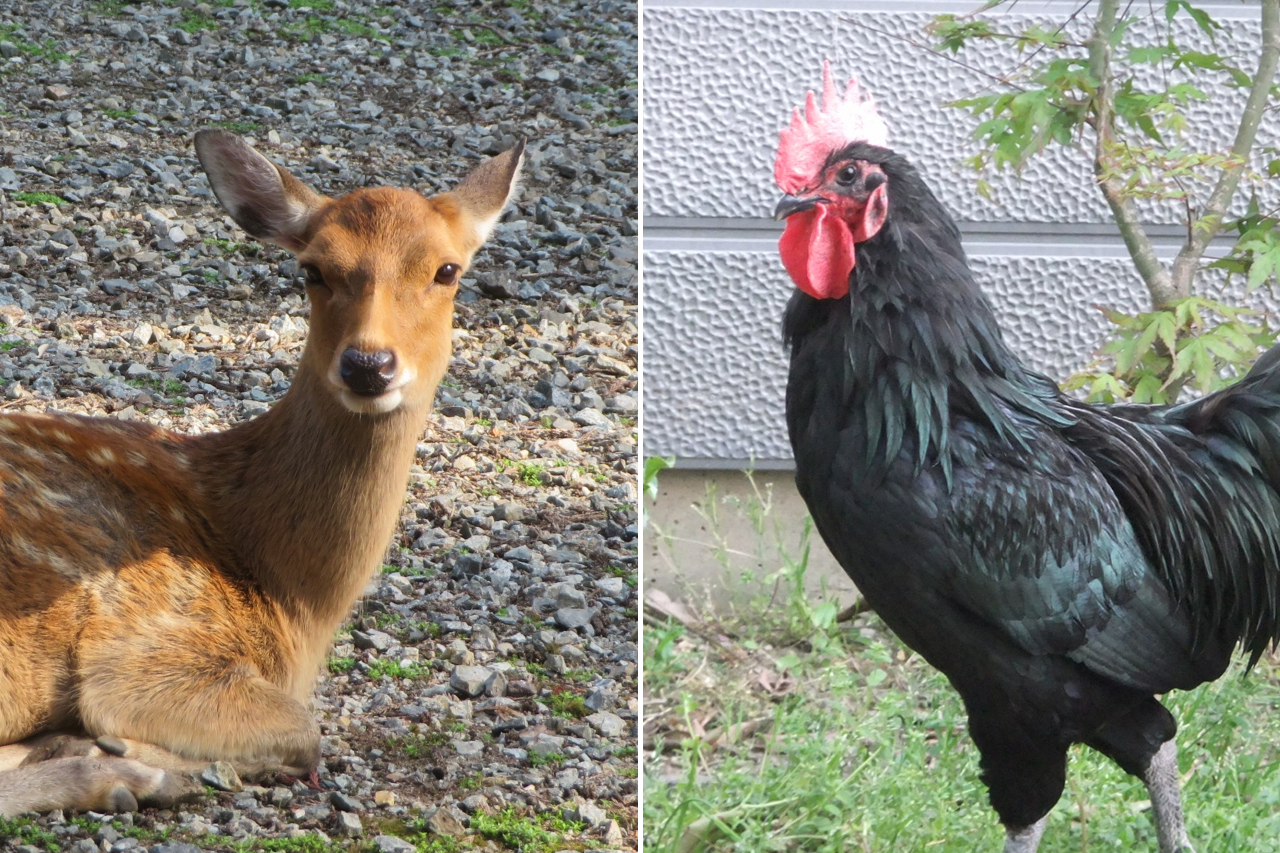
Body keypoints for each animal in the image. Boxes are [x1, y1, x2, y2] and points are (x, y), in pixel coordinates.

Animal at [0, 128, 524, 817]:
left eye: (447, 269)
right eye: (313, 269)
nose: (368, 364)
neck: (291, 600)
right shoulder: (146, 648)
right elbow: (306, 731)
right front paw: (125, 748)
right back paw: (129, 774)